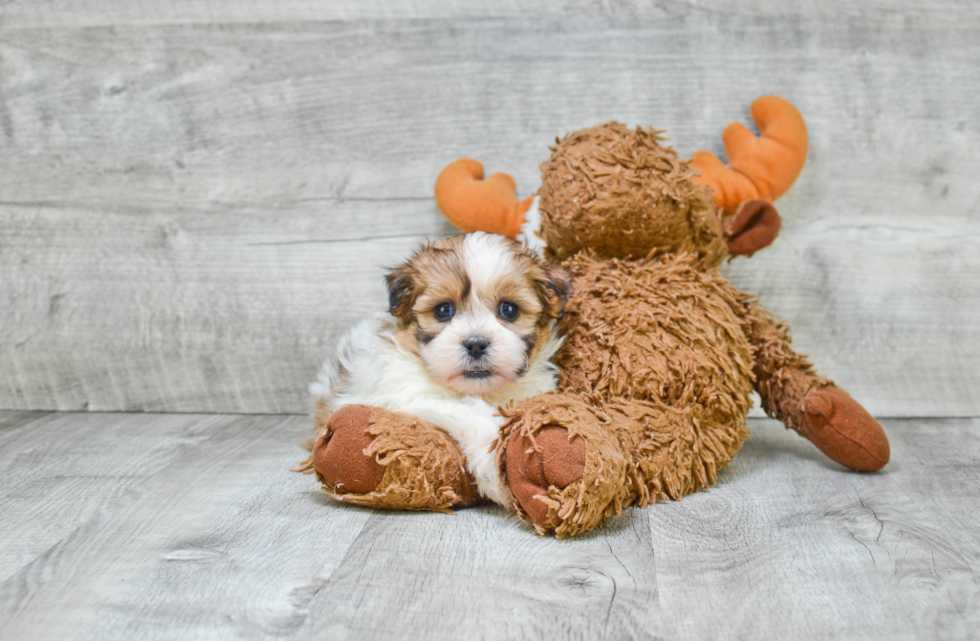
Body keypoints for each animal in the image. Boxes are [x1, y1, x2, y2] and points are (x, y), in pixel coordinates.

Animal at [310, 230, 572, 504]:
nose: (476, 344)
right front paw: (495, 467)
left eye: (509, 309)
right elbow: (469, 412)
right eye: (443, 310)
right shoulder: (404, 393)